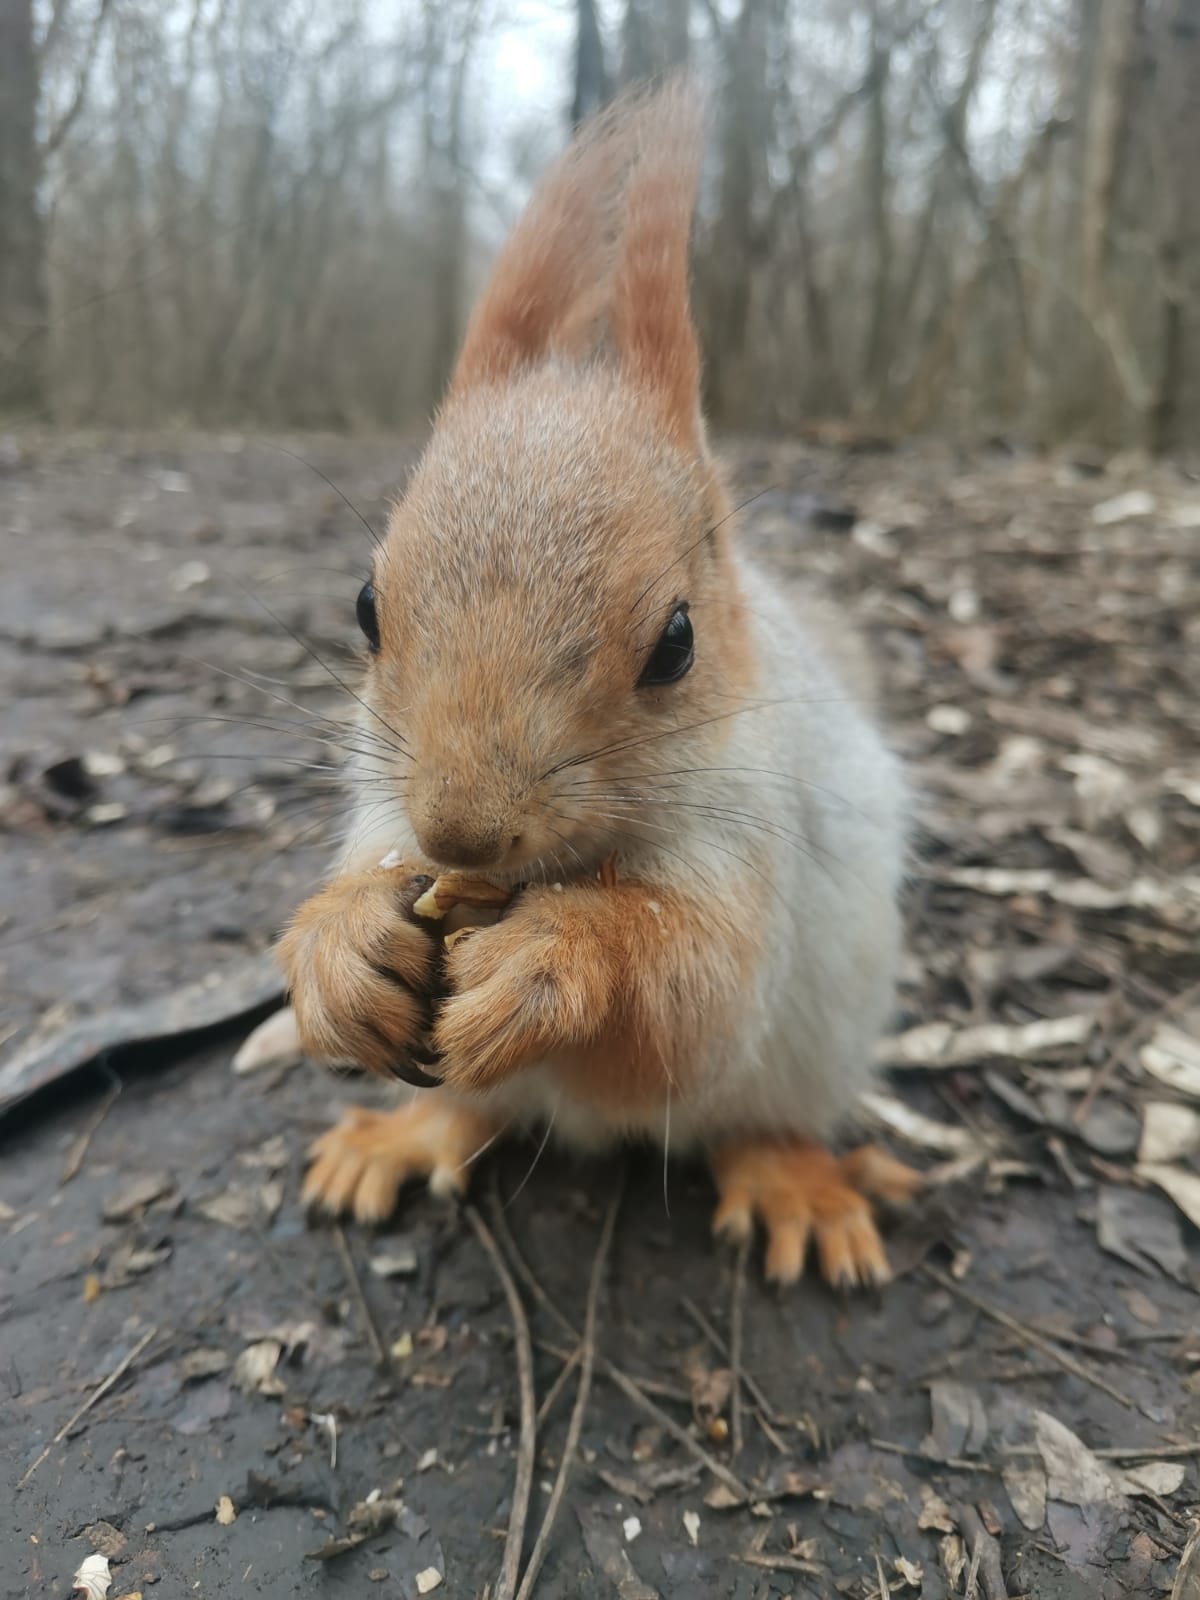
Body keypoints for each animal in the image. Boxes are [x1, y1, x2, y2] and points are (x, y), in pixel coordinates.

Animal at [244, 84, 921, 1286]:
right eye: (366, 607)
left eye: (677, 643)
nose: (462, 830)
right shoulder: (383, 807)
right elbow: (360, 879)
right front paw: (341, 948)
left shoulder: (753, 839)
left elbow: (698, 988)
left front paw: (556, 959)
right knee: (473, 1110)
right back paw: (402, 1135)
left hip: (811, 1046)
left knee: (754, 1114)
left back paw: (794, 1183)